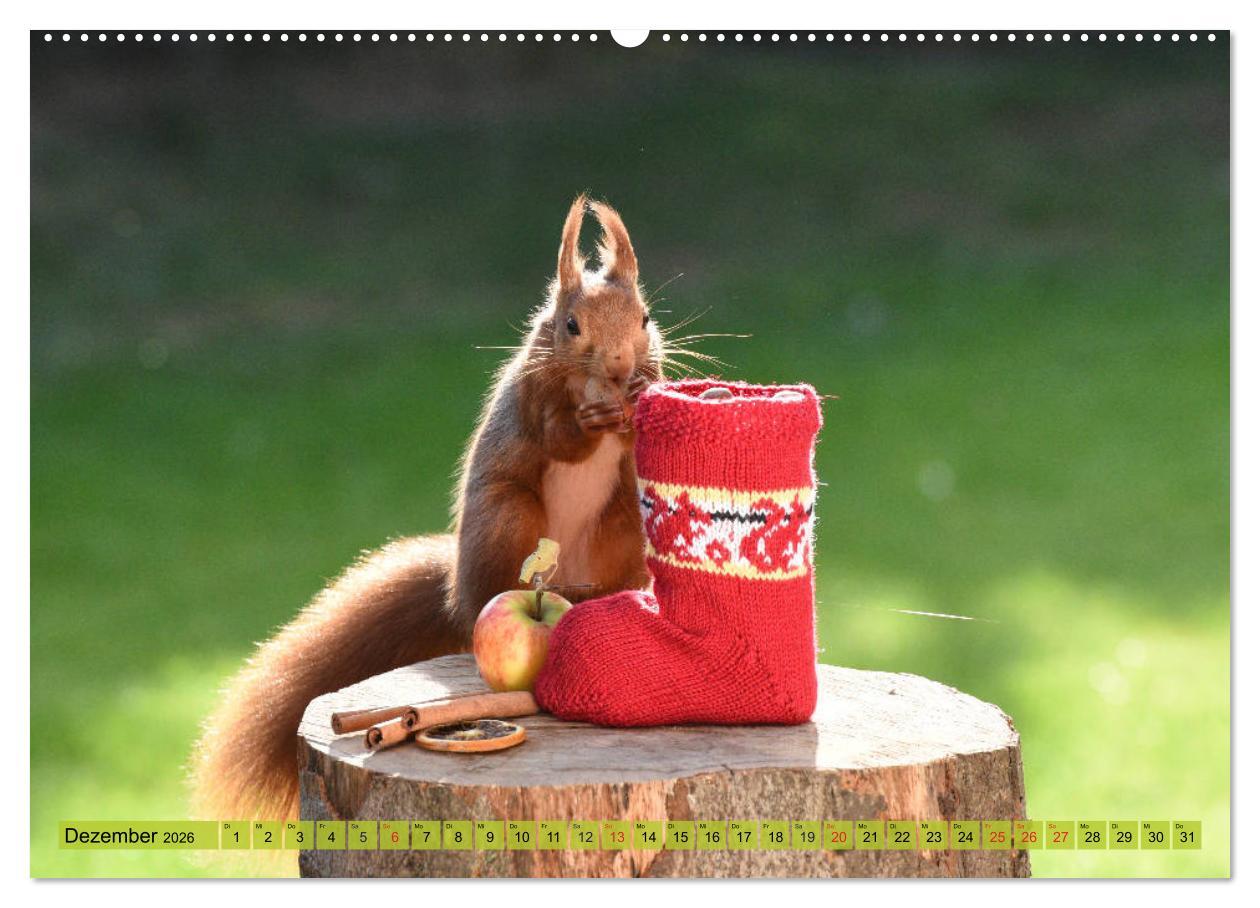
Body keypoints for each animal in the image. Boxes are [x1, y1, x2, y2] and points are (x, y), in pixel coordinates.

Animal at [191, 195, 665, 822]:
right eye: (570, 325)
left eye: (645, 319)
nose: (617, 367)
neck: (595, 388)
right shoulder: (534, 397)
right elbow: (556, 437)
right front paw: (588, 423)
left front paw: (637, 400)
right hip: (509, 518)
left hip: (622, 527)